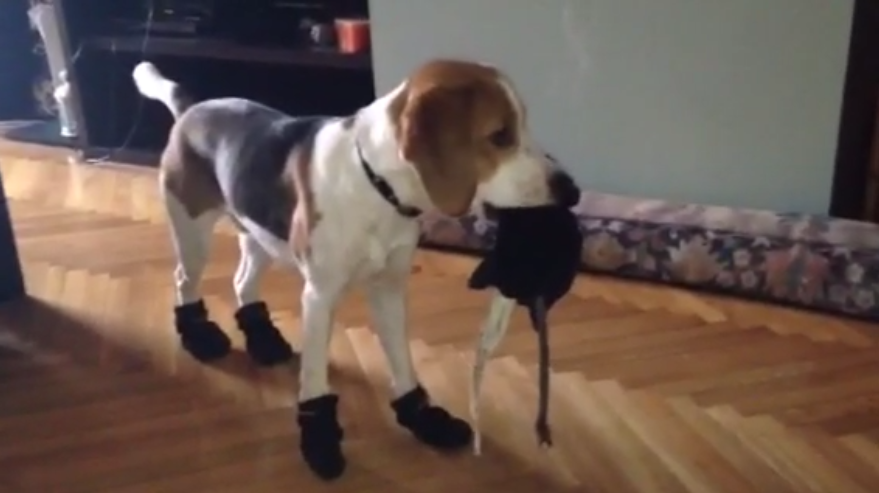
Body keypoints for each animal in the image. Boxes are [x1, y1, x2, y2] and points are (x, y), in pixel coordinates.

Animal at [132, 59, 584, 478]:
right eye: (500, 135)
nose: (572, 191)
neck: (377, 185)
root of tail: (194, 106)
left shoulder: (389, 289)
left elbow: (402, 363)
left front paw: (423, 418)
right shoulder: (319, 298)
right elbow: (315, 380)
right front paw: (319, 439)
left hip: (260, 235)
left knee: (243, 283)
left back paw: (263, 340)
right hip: (192, 232)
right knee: (184, 280)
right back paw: (200, 336)